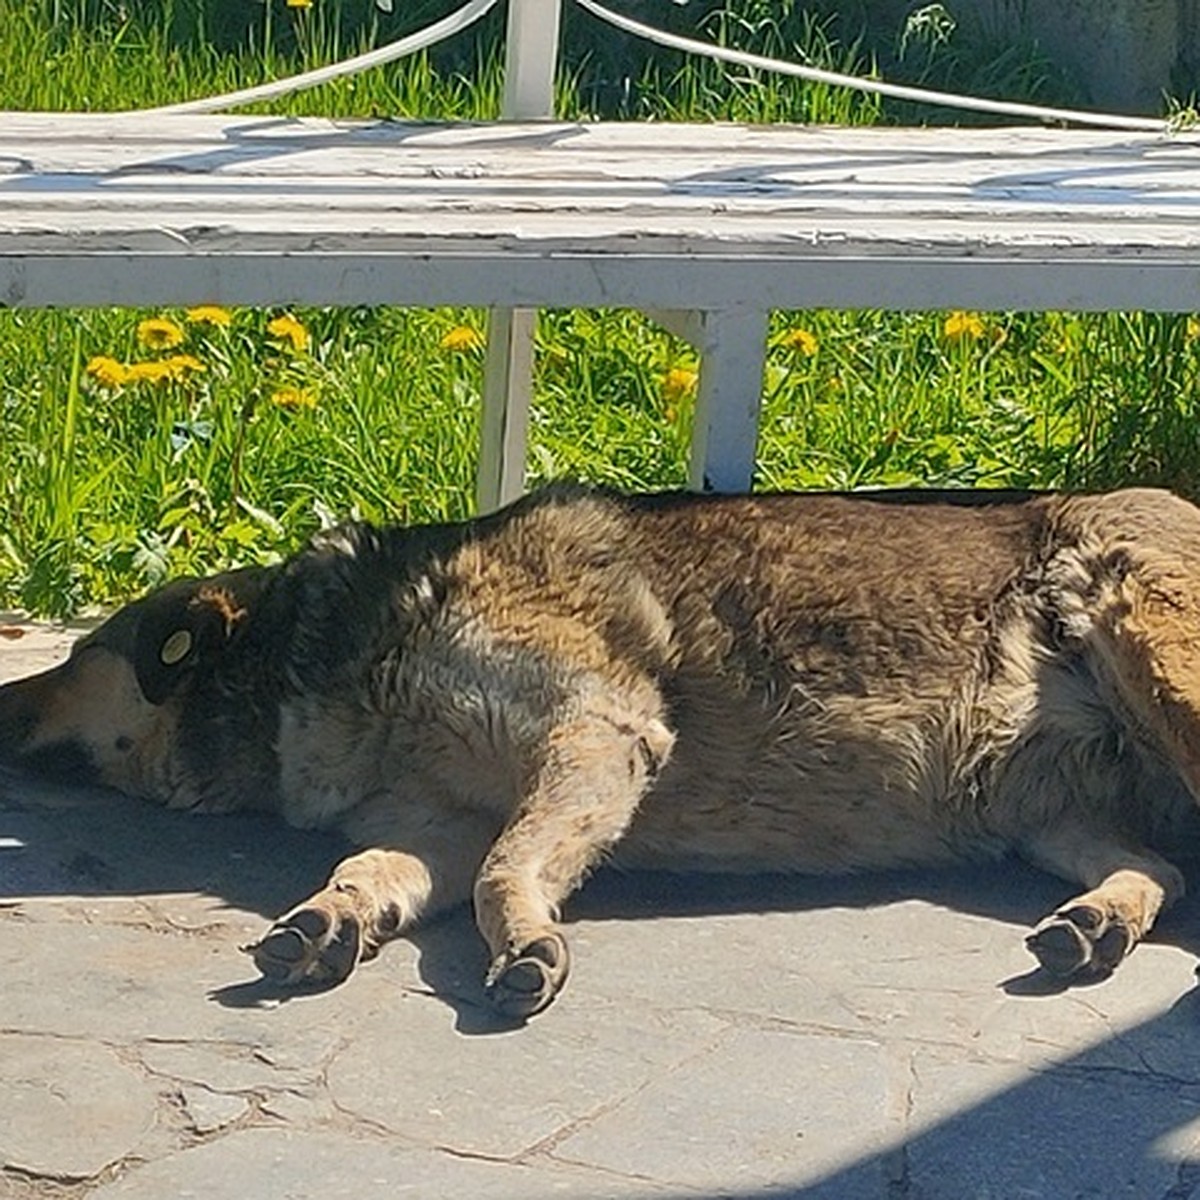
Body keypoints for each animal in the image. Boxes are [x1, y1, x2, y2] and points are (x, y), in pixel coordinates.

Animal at [2, 482, 1200, 1017]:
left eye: (81, 656)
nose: (3, 699)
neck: (330, 644)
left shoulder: (593, 737)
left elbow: (506, 873)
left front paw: (527, 943)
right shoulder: (431, 822)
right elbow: (372, 867)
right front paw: (336, 915)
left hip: (1149, 642)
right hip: (1035, 809)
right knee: (1164, 866)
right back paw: (1099, 924)